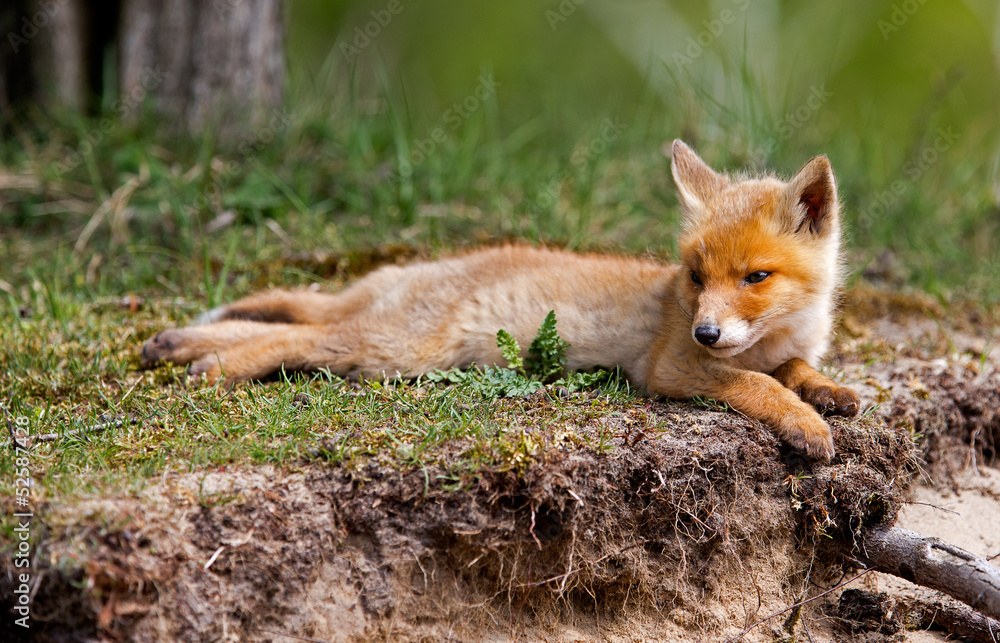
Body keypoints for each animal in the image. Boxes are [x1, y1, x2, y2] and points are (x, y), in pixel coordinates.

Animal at [141, 140, 859, 460]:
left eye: (755, 277)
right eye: (695, 276)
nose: (706, 331)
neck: (773, 333)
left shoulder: (778, 348)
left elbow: (796, 370)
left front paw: (828, 392)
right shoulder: (670, 367)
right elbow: (755, 384)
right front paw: (804, 422)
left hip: (378, 330)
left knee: (286, 319)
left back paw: (176, 345)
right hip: (398, 352)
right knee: (292, 338)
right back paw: (210, 364)